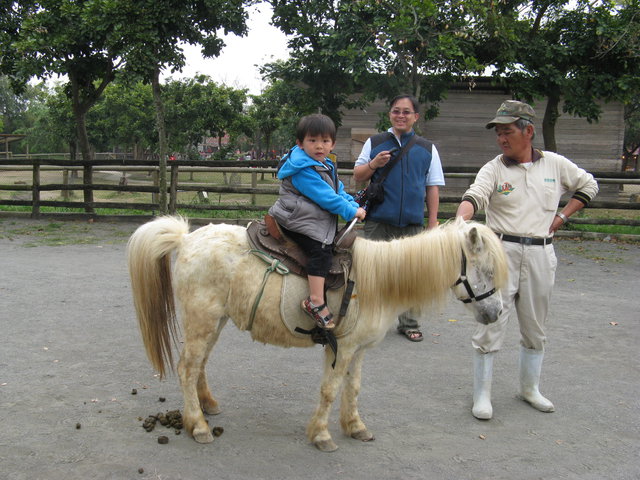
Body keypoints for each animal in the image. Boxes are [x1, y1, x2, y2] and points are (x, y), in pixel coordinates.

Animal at [127, 216, 508, 452]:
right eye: (487, 270)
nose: (496, 314)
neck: (377, 281)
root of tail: (186, 238)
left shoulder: (358, 350)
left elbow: (353, 389)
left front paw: (355, 426)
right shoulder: (341, 348)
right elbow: (330, 391)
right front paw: (322, 435)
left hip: (213, 321)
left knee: (199, 364)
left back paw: (207, 406)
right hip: (202, 320)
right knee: (187, 369)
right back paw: (198, 426)